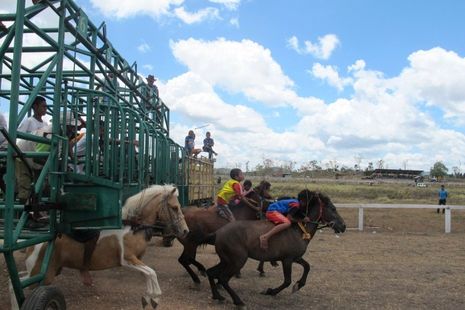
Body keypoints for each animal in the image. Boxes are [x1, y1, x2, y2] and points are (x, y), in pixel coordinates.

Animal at [21, 185, 188, 308]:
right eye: (174, 207)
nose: (185, 231)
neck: (132, 227)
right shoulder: (127, 260)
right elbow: (152, 273)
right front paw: (154, 299)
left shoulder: (138, 260)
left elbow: (148, 274)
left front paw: (148, 298)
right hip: (42, 276)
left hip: (43, 273)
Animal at [206, 189, 344, 308]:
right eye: (333, 209)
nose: (343, 226)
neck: (299, 230)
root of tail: (218, 233)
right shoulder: (287, 260)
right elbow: (287, 281)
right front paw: (270, 291)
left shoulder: (296, 258)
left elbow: (307, 267)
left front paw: (298, 285)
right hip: (237, 260)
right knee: (223, 278)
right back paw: (238, 301)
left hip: (226, 260)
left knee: (211, 272)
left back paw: (217, 296)